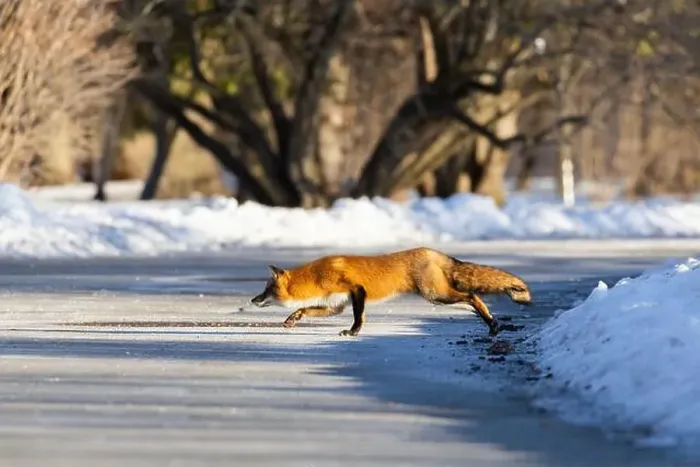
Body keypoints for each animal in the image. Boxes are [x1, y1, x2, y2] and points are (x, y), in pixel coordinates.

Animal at [250, 247, 532, 337]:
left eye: (266, 290)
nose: (252, 300)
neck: (317, 277)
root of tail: (434, 252)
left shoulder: (356, 290)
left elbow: (359, 316)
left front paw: (354, 332)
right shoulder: (335, 305)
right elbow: (305, 309)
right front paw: (292, 319)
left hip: (435, 295)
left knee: (473, 296)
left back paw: (492, 324)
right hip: (439, 298)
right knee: (476, 300)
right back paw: (492, 323)